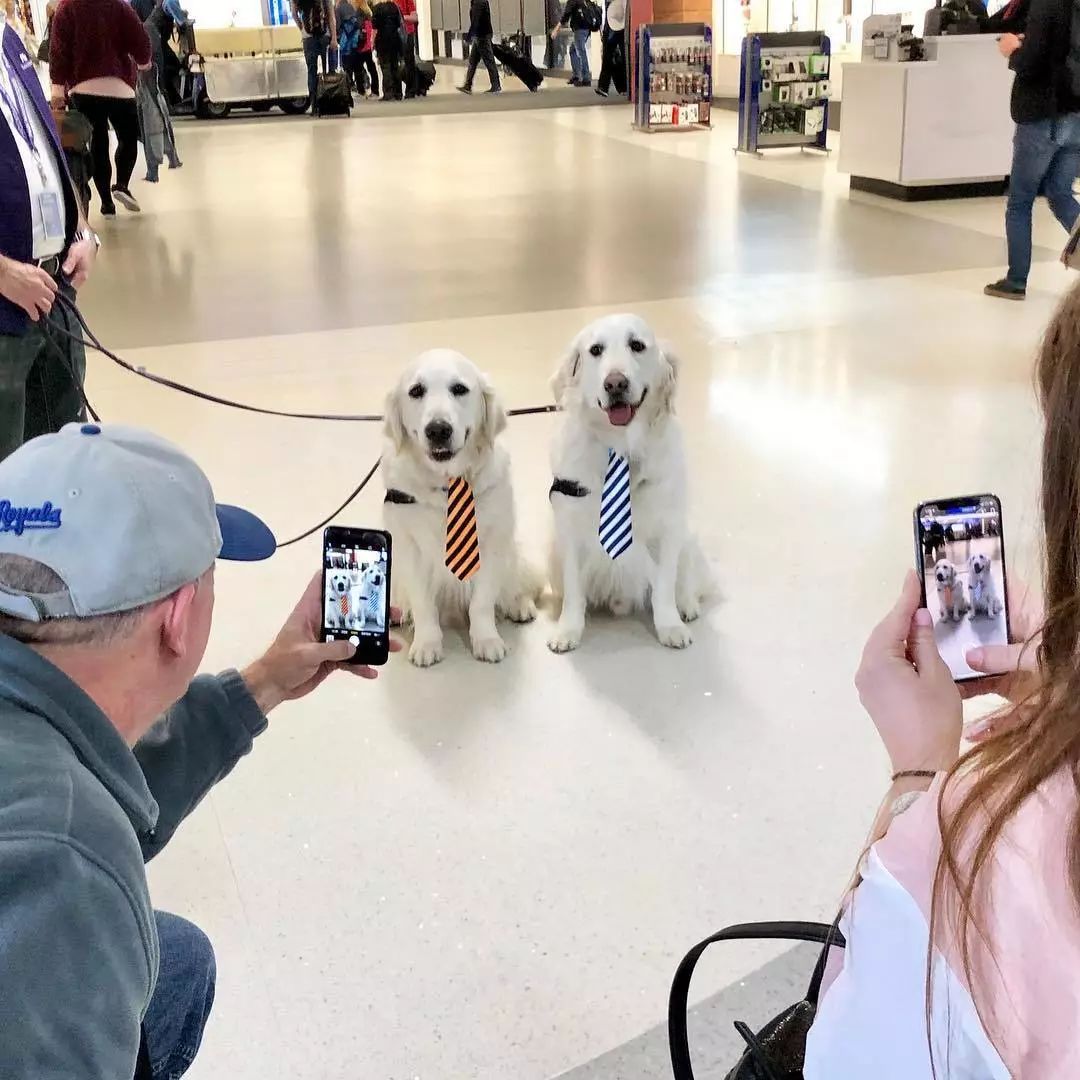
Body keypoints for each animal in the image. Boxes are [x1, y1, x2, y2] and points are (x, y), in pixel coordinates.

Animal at [319, 524, 393, 660]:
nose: (378, 577)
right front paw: (345, 625)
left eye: (379, 572)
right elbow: (343, 618)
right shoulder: (352, 607)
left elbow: (377, 615)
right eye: (371, 571)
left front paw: (380, 623)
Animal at [384, 347, 544, 665]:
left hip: (516, 554)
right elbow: (423, 603)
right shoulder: (409, 548)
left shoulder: (492, 544)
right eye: (416, 391)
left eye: (459, 389)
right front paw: (427, 643)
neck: (447, 483)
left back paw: (519, 606)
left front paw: (486, 640)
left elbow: (482, 602)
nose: (438, 430)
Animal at [548, 313, 708, 648]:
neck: (619, 444)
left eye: (637, 345)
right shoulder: (570, 530)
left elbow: (664, 585)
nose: (615, 383)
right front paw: (568, 629)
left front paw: (670, 625)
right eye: (595, 350)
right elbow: (574, 590)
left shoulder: (667, 528)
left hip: (688, 539)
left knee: (688, 579)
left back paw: (687, 605)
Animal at [915, 496, 1006, 682]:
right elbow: (949, 609)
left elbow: (972, 607)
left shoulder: (977, 597)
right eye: (937, 568)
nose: (939, 575)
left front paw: (985, 615)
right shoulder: (955, 598)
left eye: (981, 557)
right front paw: (950, 617)